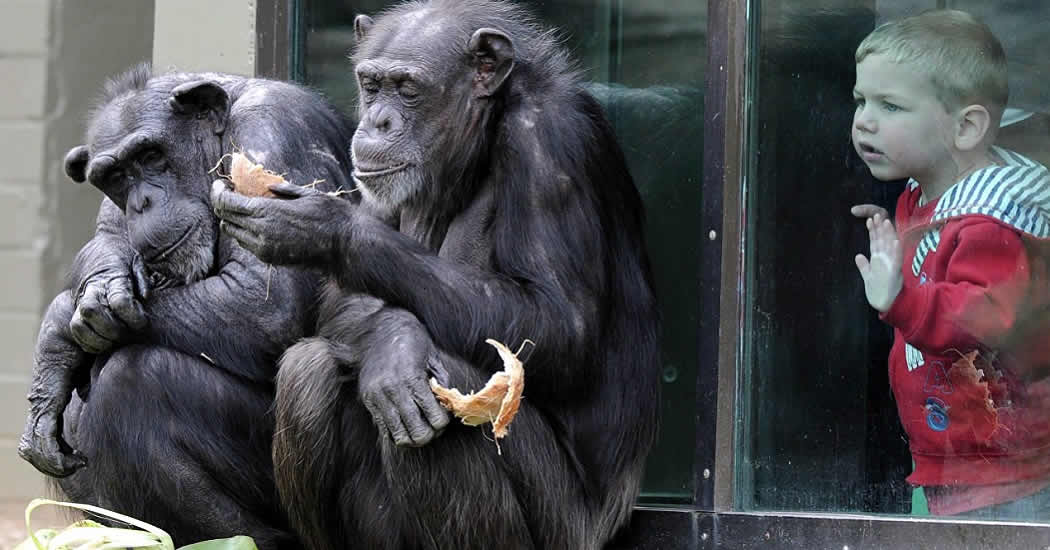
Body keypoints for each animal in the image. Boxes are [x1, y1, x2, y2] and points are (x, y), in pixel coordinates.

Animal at [17, 63, 356, 545]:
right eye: (116, 177)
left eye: (150, 156)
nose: (142, 202)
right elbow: (107, 236)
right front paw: (64, 344)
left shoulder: (274, 134)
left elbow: (266, 300)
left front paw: (57, 327)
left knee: (135, 381)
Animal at [208, 1, 659, 550]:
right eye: (370, 84)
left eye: (407, 88)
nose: (377, 121)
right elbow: (343, 300)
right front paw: (390, 338)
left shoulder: (552, 142)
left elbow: (560, 321)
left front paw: (328, 231)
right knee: (308, 368)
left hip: (563, 528)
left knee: (453, 386)